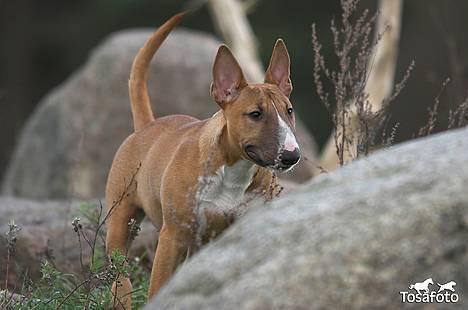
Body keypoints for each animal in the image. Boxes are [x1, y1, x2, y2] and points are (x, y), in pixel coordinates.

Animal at [104, 12, 302, 308]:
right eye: (255, 114)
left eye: (289, 111)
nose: (292, 155)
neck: (233, 172)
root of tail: (147, 126)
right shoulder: (172, 237)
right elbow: (158, 287)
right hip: (119, 223)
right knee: (121, 278)